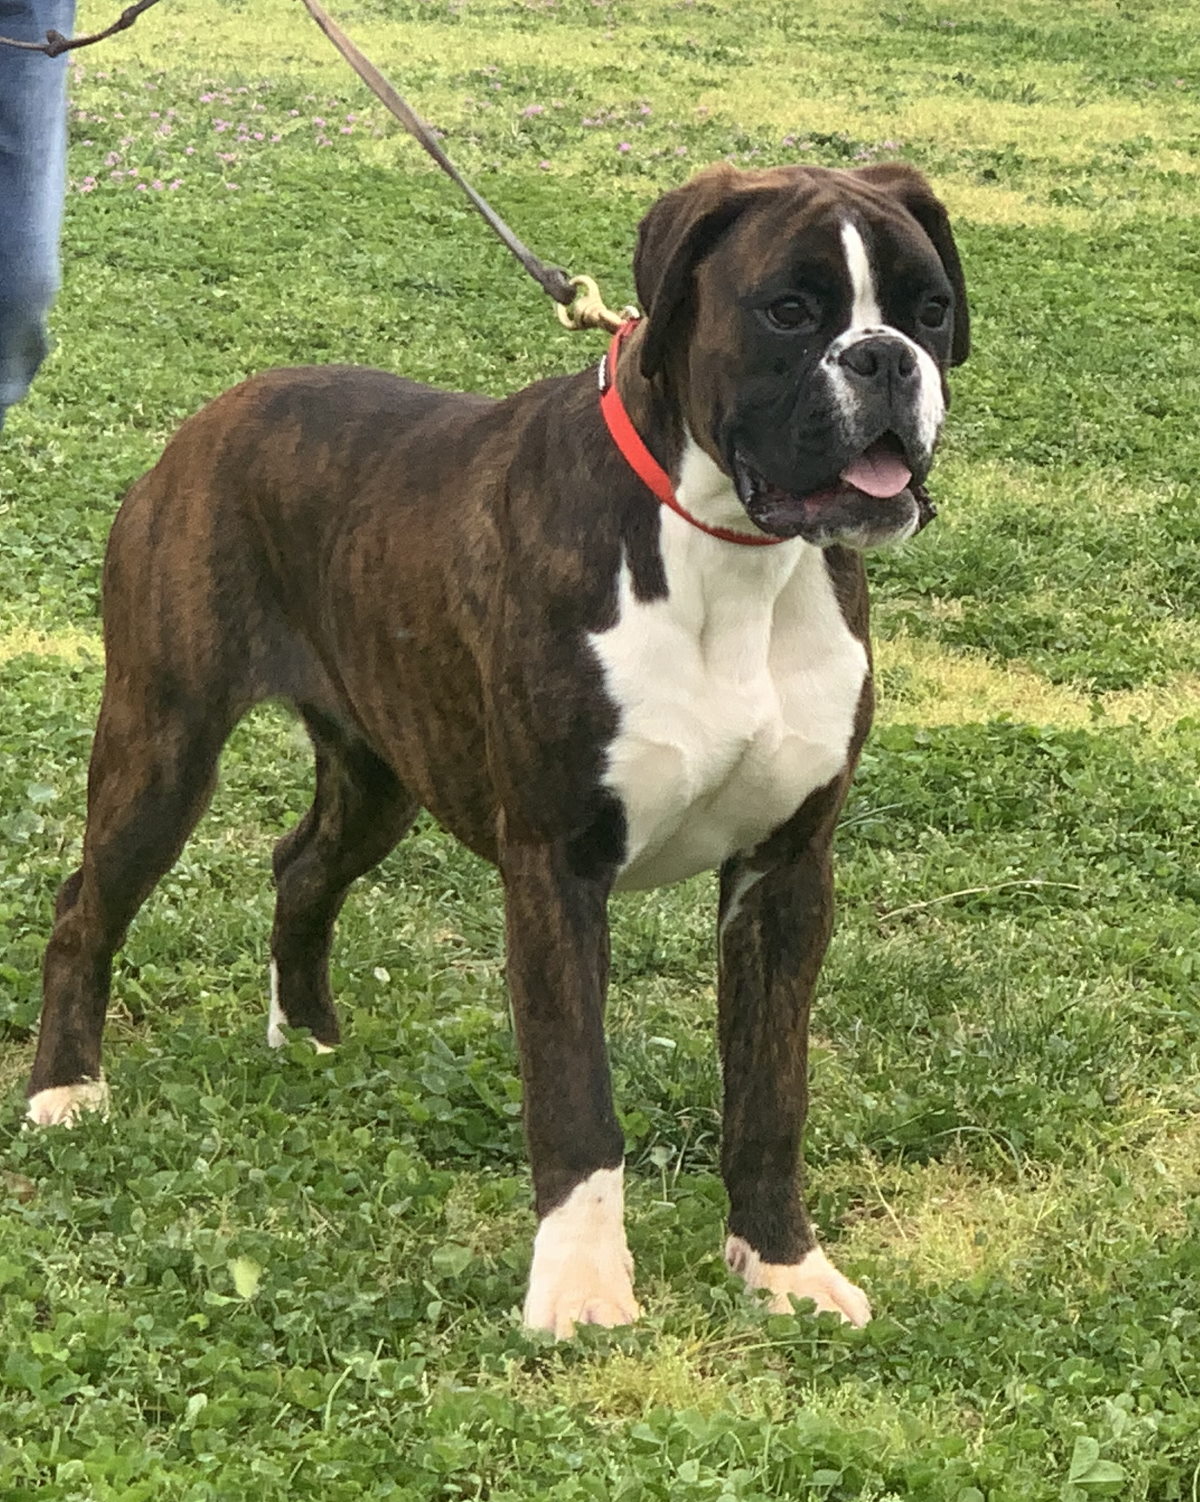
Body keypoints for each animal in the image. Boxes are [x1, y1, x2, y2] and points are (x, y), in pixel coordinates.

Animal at [26, 160, 968, 1337]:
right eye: (788, 310)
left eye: (929, 307)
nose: (885, 358)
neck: (726, 548)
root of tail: (217, 412)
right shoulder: (558, 871)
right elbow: (576, 1100)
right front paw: (582, 1290)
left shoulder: (786, 875)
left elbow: (770, 1092)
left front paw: (783, 1265)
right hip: (163, 745)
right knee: (86, 906)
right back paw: (64, 1089)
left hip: (382, 771)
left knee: (301, 866)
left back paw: (312, 1036)